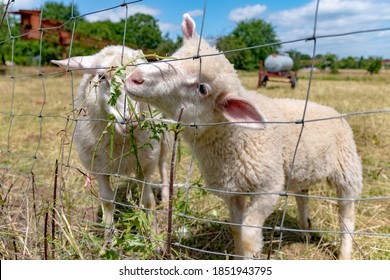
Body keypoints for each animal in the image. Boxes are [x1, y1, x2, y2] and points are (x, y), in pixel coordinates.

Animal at [51, 45, 170, 230]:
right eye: (101, 77)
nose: (130, 120)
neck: (121, 142)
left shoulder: (145, 165)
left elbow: (148, 201)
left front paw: (154, 232)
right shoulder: (99, 167)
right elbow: (107, 203)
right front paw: (108, 236)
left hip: (163, 138)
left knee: (163, 165)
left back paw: (165, 197)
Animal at [124, 14, 362, 260]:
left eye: (202, 89)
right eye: (175, 55)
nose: (135, 78)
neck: (235, 136)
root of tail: (330, 109)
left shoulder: (269, 186)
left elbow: (248, 234)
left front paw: (251, 253)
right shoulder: (232, 191)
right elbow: (236, 229)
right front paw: (239, 256)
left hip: (347, 170)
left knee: (347, 215)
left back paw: (344, 253)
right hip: (301, 171)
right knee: (302, 196)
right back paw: (305, 231)